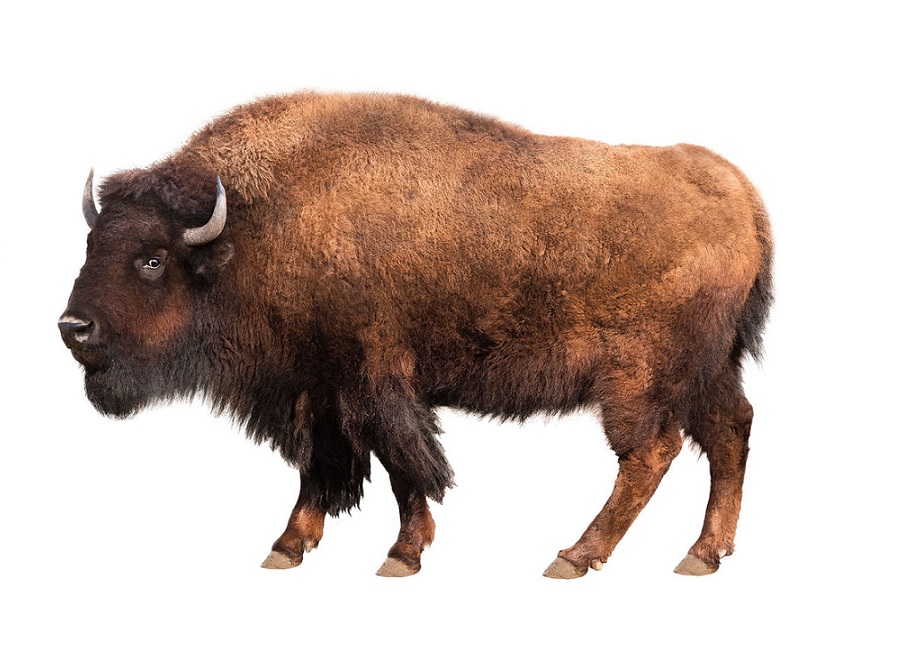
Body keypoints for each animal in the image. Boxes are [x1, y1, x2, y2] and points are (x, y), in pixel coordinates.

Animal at [60, 92, 772, 578]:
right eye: (93, 244)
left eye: (152, 259)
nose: (73, 327)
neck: (253, 226)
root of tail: (741, 195)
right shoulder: (319, 387)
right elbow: (324, 466)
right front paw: (288, 548)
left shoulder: (373, 380)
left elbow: (402, 463)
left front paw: (400, 555)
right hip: (711, 370)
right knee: (730, 432)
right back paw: (703, 554)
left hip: (637, 379)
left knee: (650, 453)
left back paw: (573, 557)